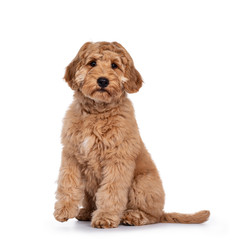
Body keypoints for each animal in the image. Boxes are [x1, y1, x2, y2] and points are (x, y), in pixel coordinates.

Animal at [53, 41, 210, 229]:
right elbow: (67, 182)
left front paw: (105, 217)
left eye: (114, 65)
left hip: (142, 183)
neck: (97, 112)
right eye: (92, 63)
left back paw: (132, 216)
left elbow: (111, 190)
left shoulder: (118, 160)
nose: (103, 80)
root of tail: (162, 212)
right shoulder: (71, 154)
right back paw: (86, 212)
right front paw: (63, 210)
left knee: (151, 215)